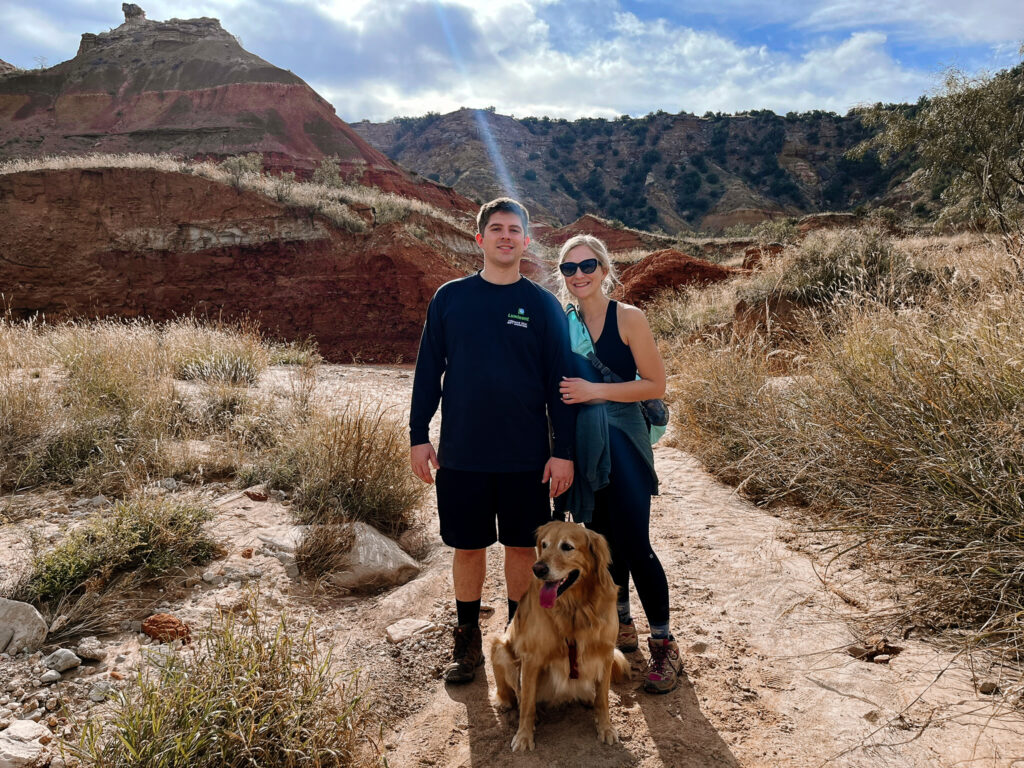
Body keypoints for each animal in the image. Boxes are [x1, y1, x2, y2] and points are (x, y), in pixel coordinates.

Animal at [489, 524, 626, 753]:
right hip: (500, 648)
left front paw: (606, 727)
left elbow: (603, 699)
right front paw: (524, 736)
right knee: (518, 695)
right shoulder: (531, 658)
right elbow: (527, 703)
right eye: (544, 545)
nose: (537, 569)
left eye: (567, 547)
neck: (575, 607)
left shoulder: (606, 652)